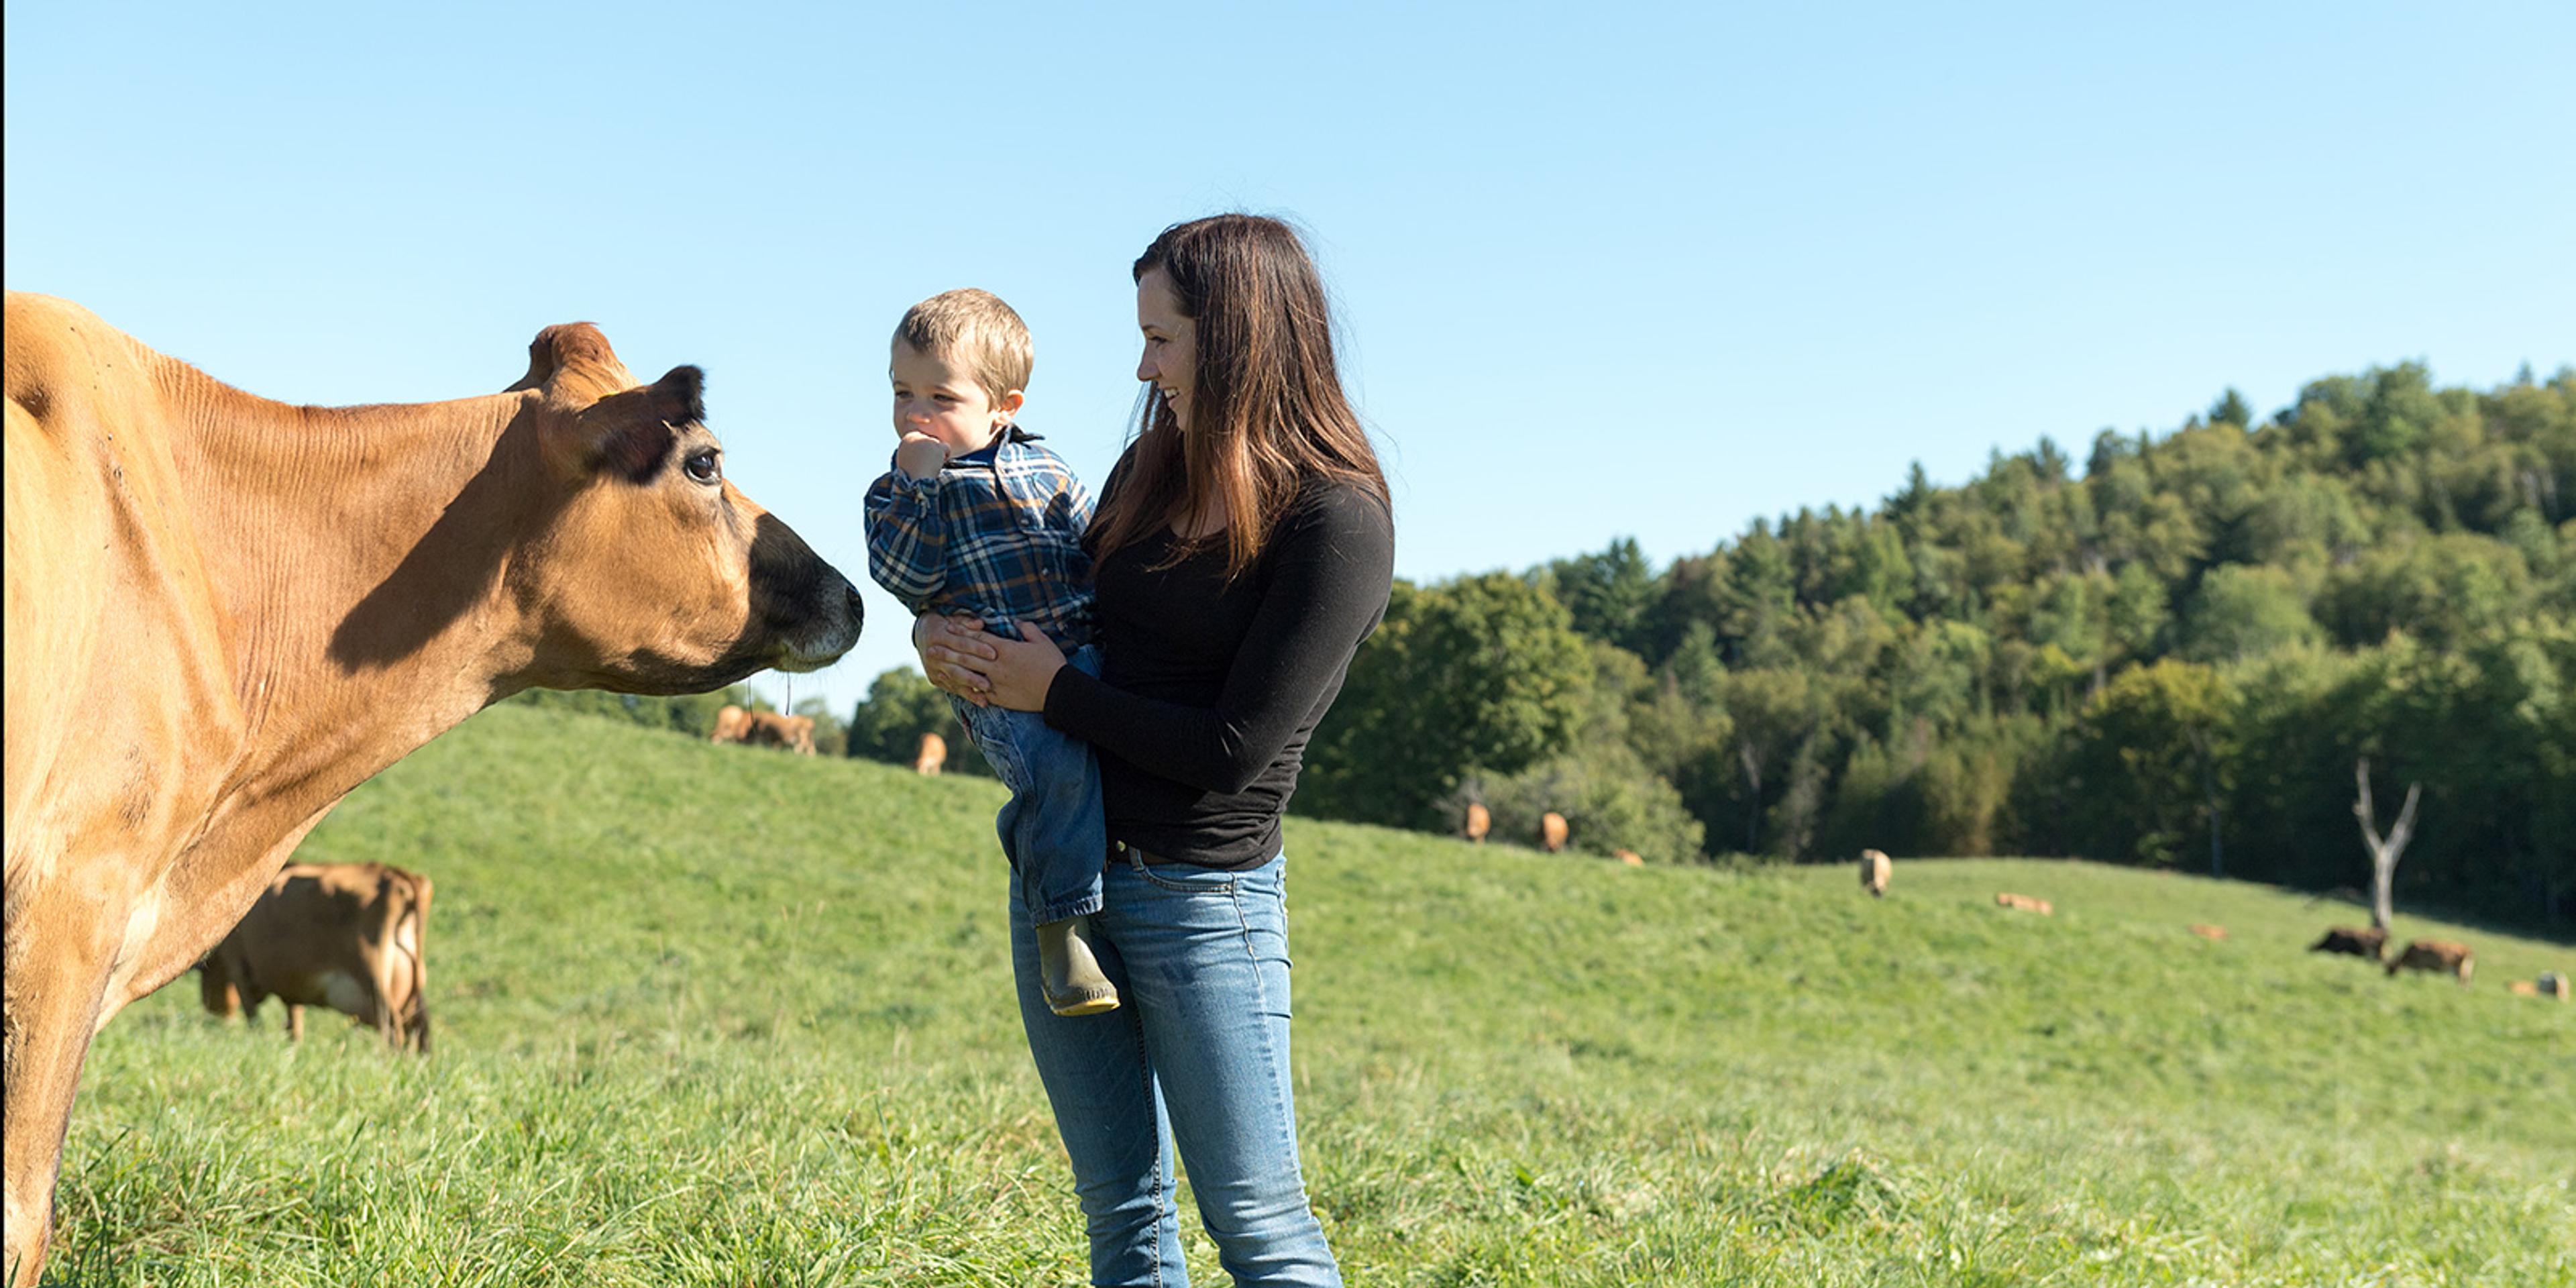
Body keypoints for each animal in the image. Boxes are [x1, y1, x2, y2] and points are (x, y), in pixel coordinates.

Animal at [198, 860, 433, 1051]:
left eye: (204, 973)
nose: (211, 1008)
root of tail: (396, 874)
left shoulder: (239, 969)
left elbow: (256, 1021)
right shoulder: (292, 983)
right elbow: (294, 1024)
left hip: (372, 979)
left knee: (393, 1029)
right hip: (411, 990)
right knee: (416, 1031)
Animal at [2369, 937, 2473, 983]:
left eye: (2390, 968)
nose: (2387, 976)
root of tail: (2469, 951)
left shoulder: (2421, 966)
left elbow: (2419, 977)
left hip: (2460, 969)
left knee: (2463, 982)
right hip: (2466, 970)